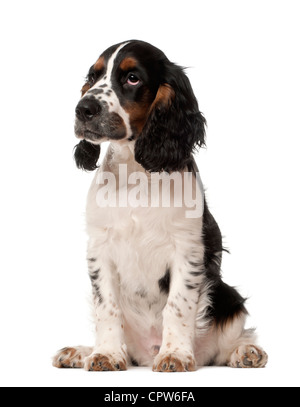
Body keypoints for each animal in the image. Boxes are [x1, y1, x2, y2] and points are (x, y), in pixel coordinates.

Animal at [52, 40, 268, 372]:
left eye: (132, 78)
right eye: (93, 75)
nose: (83, 109)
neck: (136, 173)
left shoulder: (187, 248)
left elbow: (177, 306)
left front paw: (175, 355)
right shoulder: (100, 249)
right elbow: (107, 308)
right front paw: (105, 354)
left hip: (227, 296)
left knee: (225, 345)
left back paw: (246, 352)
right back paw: (80, 352)